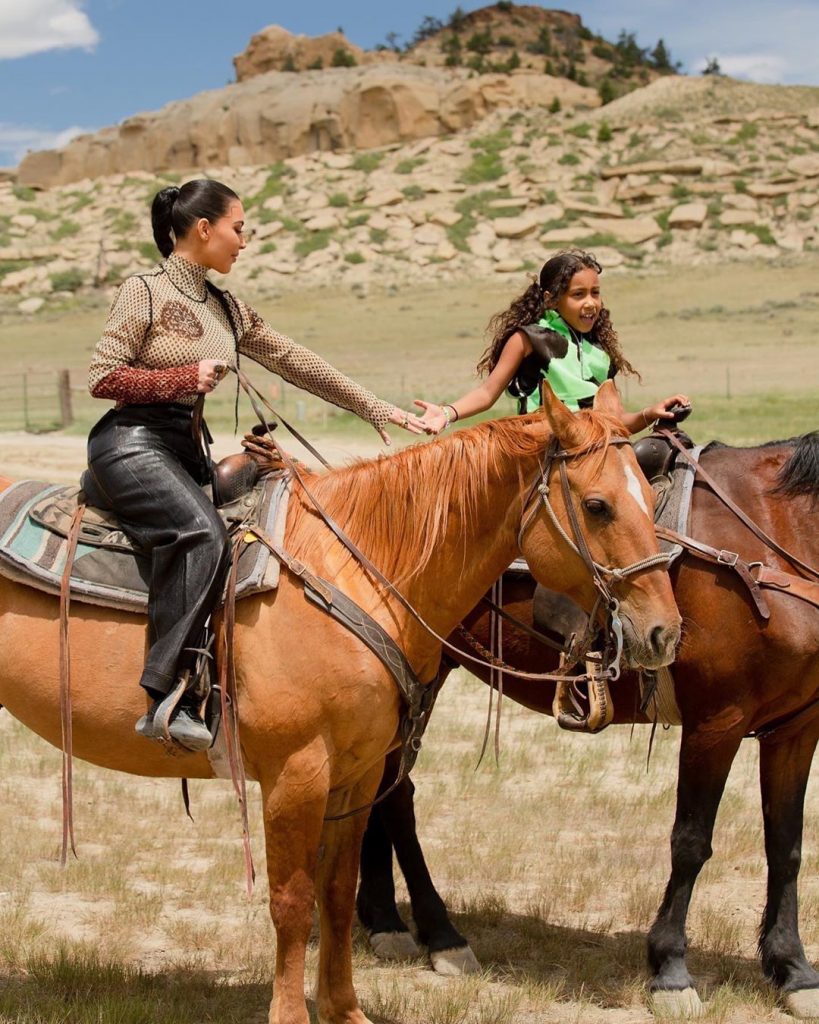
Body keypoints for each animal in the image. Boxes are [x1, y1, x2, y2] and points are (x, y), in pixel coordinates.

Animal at [0, 380, 679, 1019]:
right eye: (597, 505)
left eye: (651, 498)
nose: (664, 632)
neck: (358, 569)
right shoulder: (295, 774)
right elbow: (292, 900)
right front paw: (291, 1014)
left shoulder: (357, 774)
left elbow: (334, 892)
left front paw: (344, 1009)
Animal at [356, 430, 818, 1015]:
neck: (773, 534)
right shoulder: (717, 723)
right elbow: (691, 843)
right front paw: (671, 970)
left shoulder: (796, 730)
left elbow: (786, 848)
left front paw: (794, 971)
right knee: (396, 797)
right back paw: (440, 936)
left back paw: (383, 920)